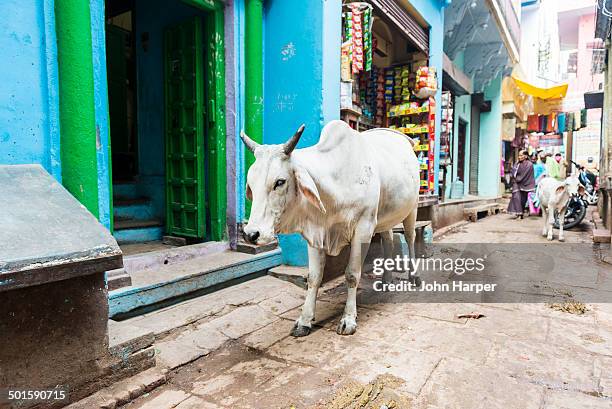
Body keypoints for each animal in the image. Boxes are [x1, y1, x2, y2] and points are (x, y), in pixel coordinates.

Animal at [239, 119, 420, 336]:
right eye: (250, 184)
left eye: (279, 182)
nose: (251, 234)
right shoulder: (315, 233)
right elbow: (314, 277)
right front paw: (304, 320)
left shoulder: (363, 228)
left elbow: (352, 274)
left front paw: (348, 319)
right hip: (384, 217)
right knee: (389, 241)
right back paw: (386, 279)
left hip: (412, 208)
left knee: (410, 238)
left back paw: (414, 277)